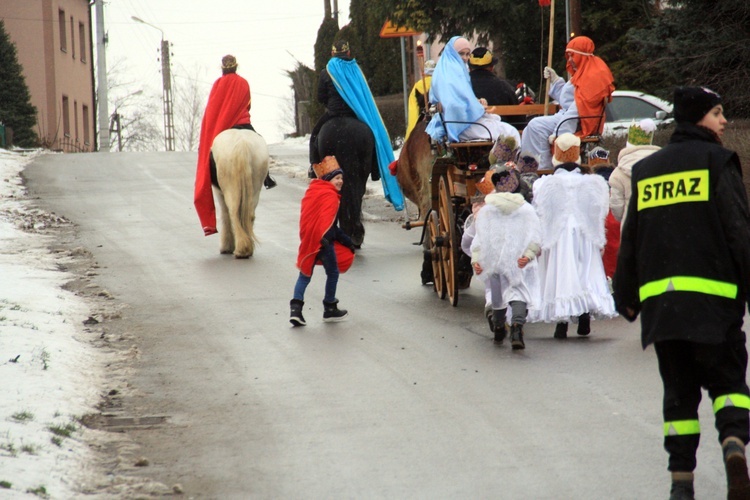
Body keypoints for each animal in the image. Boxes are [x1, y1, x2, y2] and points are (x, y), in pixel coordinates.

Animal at [212, 129, 270, 260]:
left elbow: (225, 214)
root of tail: (242, 144)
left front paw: (226, 247)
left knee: (233, 213)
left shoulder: (219, 192)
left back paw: (241, 250)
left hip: (230, 187)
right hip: (255, 187)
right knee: (249, 214)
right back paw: (247, 247)